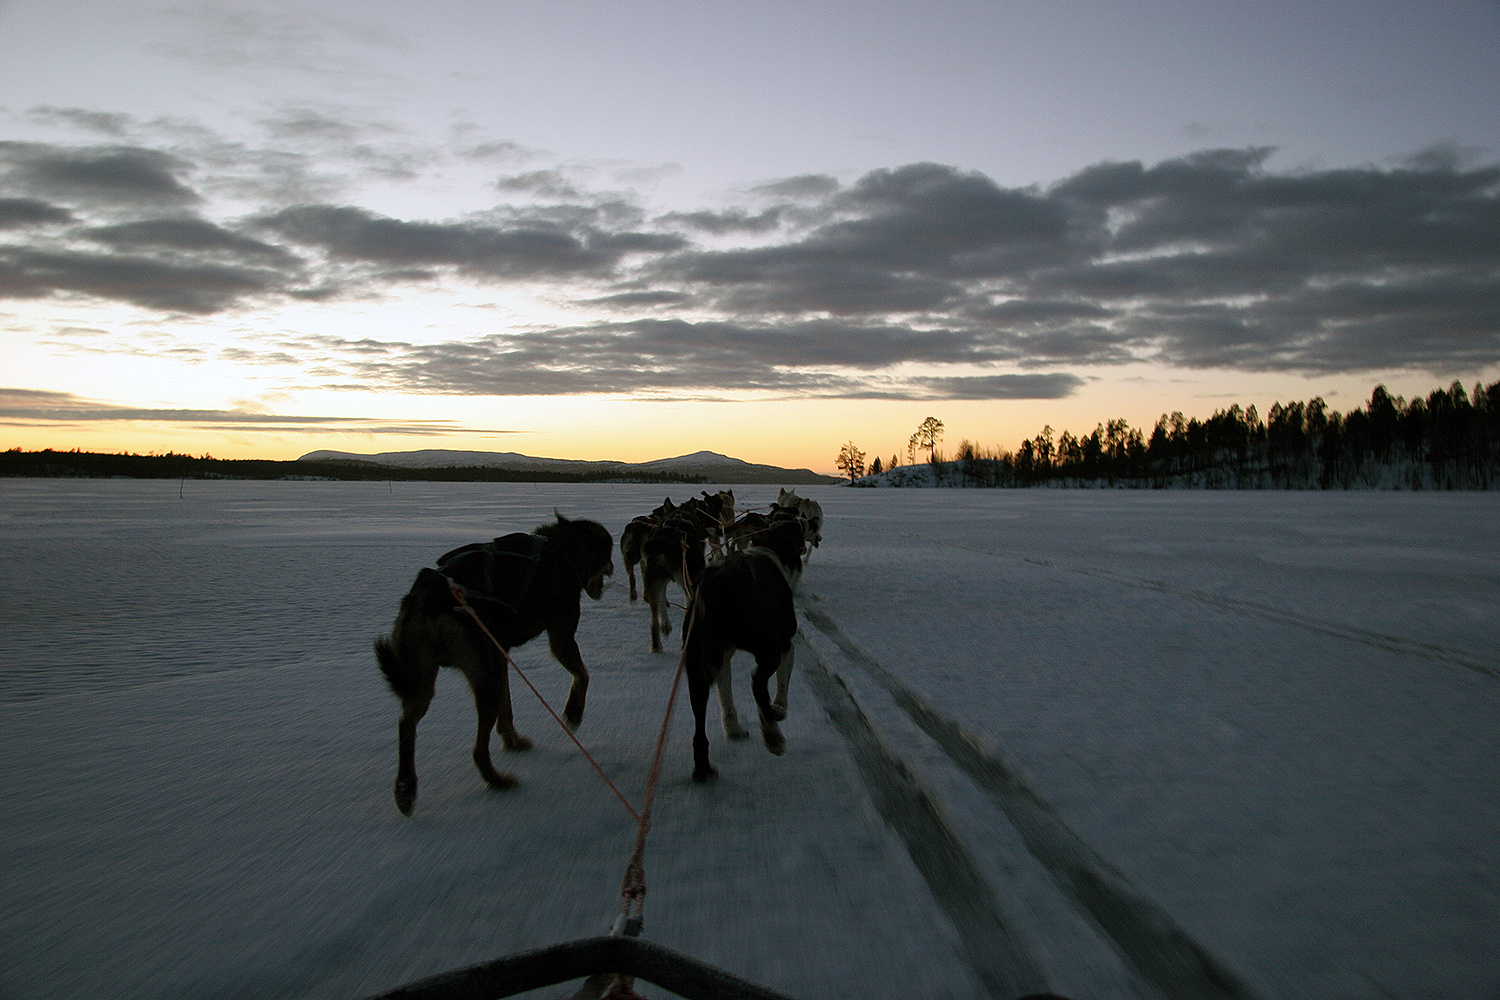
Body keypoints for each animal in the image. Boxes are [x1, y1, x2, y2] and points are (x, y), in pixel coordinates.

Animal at [375, 515, 615, 815]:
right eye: (609, 554)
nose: (614, 568)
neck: (563, 548)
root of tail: (429, 597)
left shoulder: (501, 654)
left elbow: (507, 708)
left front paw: (513, 740)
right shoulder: (561, 638)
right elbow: (583, 675)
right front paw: (574, 711)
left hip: (424, 681)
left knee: (407, 724)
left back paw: (406, 789)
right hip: (484, 678)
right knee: (478, 750)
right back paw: (497, 781)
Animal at [684, 515, 804, 779]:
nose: (803, 519)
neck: (770, 549)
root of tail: (710, 591)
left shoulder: (722, 659)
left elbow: (726, 696)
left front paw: (732, 729)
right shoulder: (786, 643)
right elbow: (782, 683)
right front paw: (778, 709)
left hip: (695, 666)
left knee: (699, 725)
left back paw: (704, 770)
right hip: (768, 646)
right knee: (757, 683)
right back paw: (772, 736)